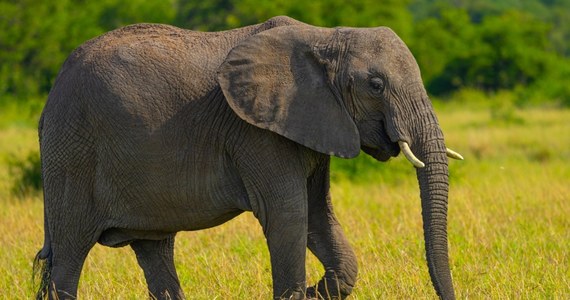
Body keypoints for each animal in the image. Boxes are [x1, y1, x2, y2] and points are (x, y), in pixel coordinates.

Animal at [32, 16, 462, 300]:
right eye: (375, 85)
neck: (324, 37)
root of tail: (48, 100)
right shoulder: (256, 133)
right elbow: (289, 215)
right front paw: (304, 290)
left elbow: (317, 215)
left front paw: (317, 290)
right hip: (72, 153)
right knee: (68, 256)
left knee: (154, 250)